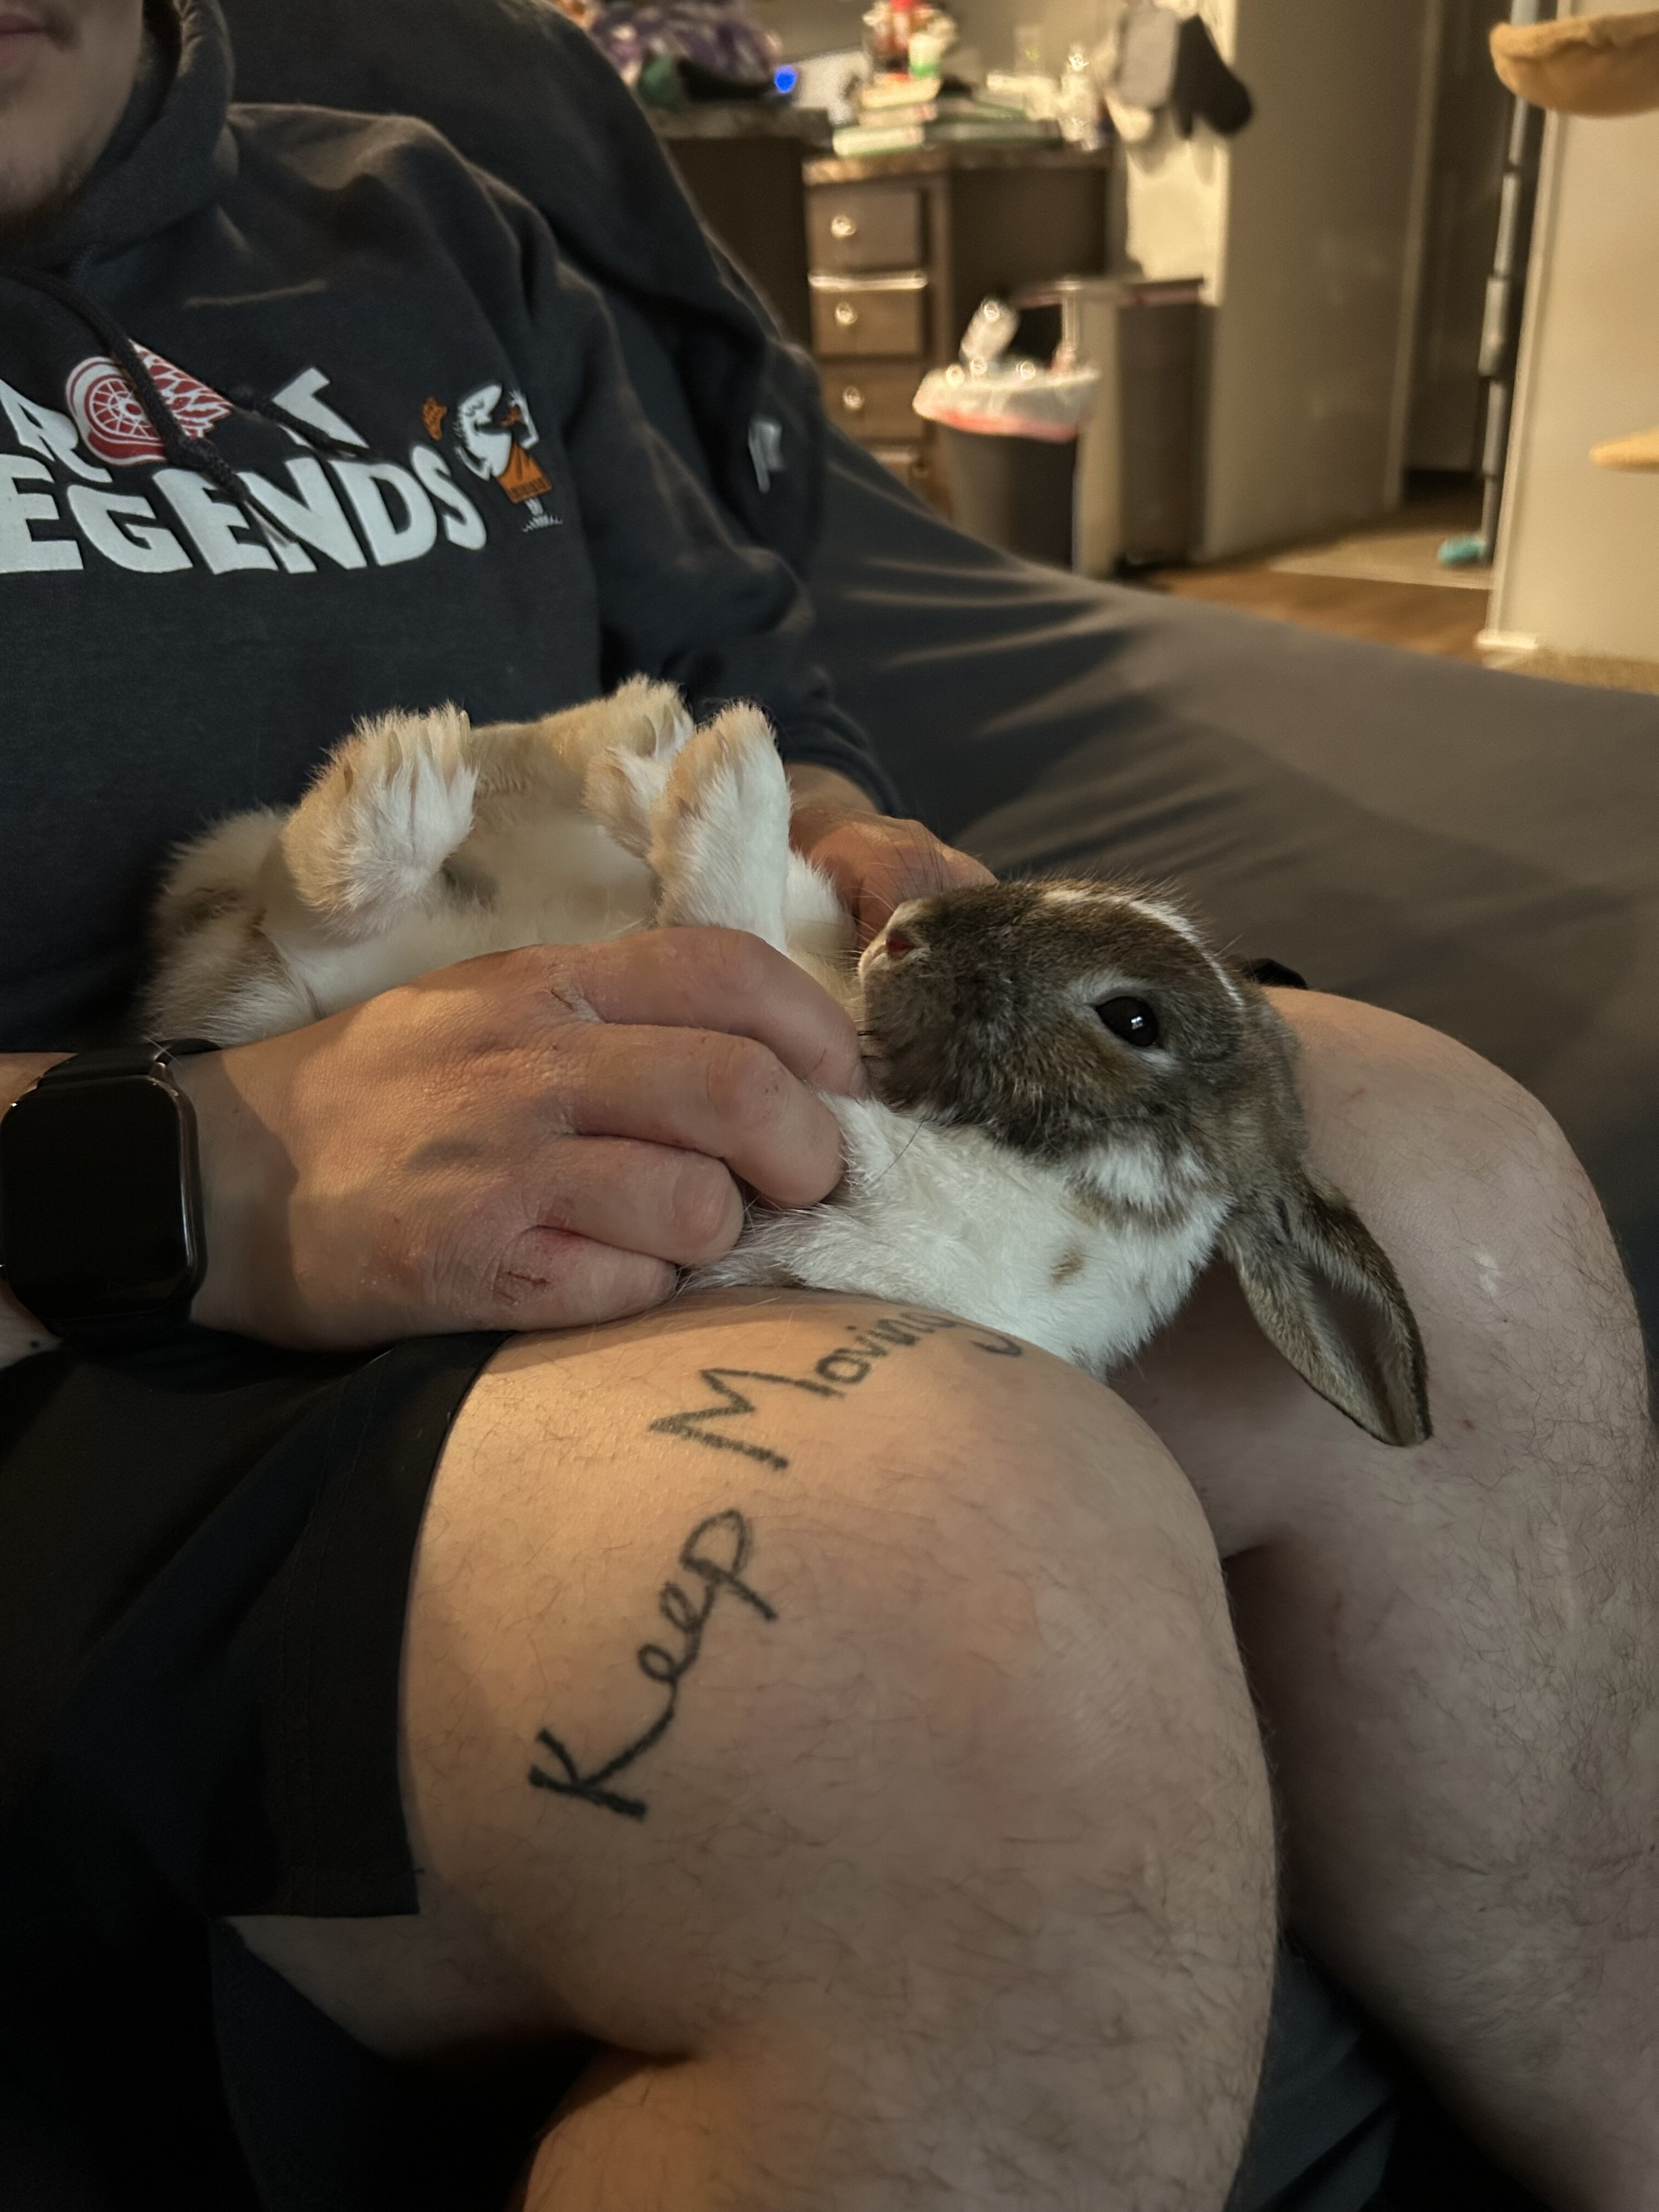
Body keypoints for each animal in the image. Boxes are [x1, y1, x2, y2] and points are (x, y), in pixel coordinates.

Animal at [149, 678, 1430, 1448]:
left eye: (1132, 1021)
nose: (904, 932)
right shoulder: (816, 965)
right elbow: (780, 904)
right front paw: (668, 770)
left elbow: (737, 917)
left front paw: (721, 777)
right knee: (327, 908)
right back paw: (575, 739)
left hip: (337, 973)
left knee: (326, 922)